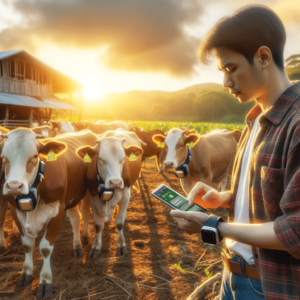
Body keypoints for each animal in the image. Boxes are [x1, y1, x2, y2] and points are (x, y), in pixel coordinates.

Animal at [0, 128, 98, 298]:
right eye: (4, 157)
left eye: (34, 156)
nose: (13, 186)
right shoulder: (15, 211)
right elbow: (27, 245)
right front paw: (26, 274)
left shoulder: (57, 211)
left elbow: (45, 248)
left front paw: (45, 281)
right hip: (71, 197)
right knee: (75, 218)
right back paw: (77, 246)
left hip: (88, 192)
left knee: (85, 213)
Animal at [77, 130, 144, 258]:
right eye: (101, 159)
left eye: (123, 158)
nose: (116, 182)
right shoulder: (93, 197)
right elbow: (98, 225)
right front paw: (96, 246)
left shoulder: (126, 194)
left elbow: (119, 222)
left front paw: (121, 245)